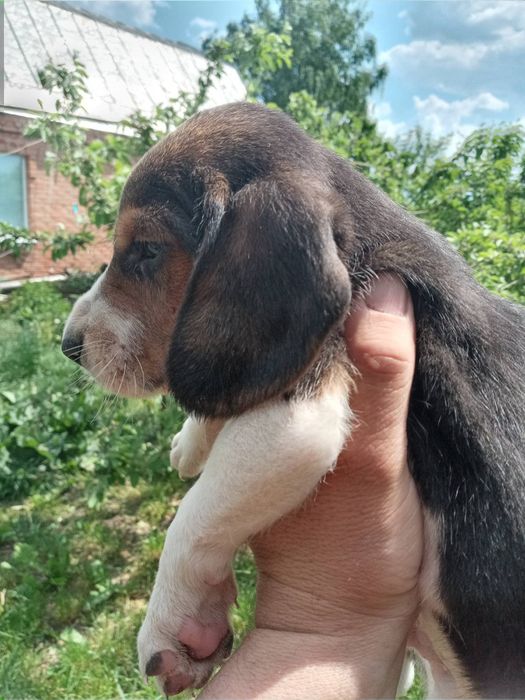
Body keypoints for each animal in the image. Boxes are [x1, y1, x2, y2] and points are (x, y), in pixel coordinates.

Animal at [62, 102, 525, 698]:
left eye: (146, 251)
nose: (70, 346)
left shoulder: (299, 418)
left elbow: (195, 514)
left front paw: (168, 623)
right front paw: (192, 440)